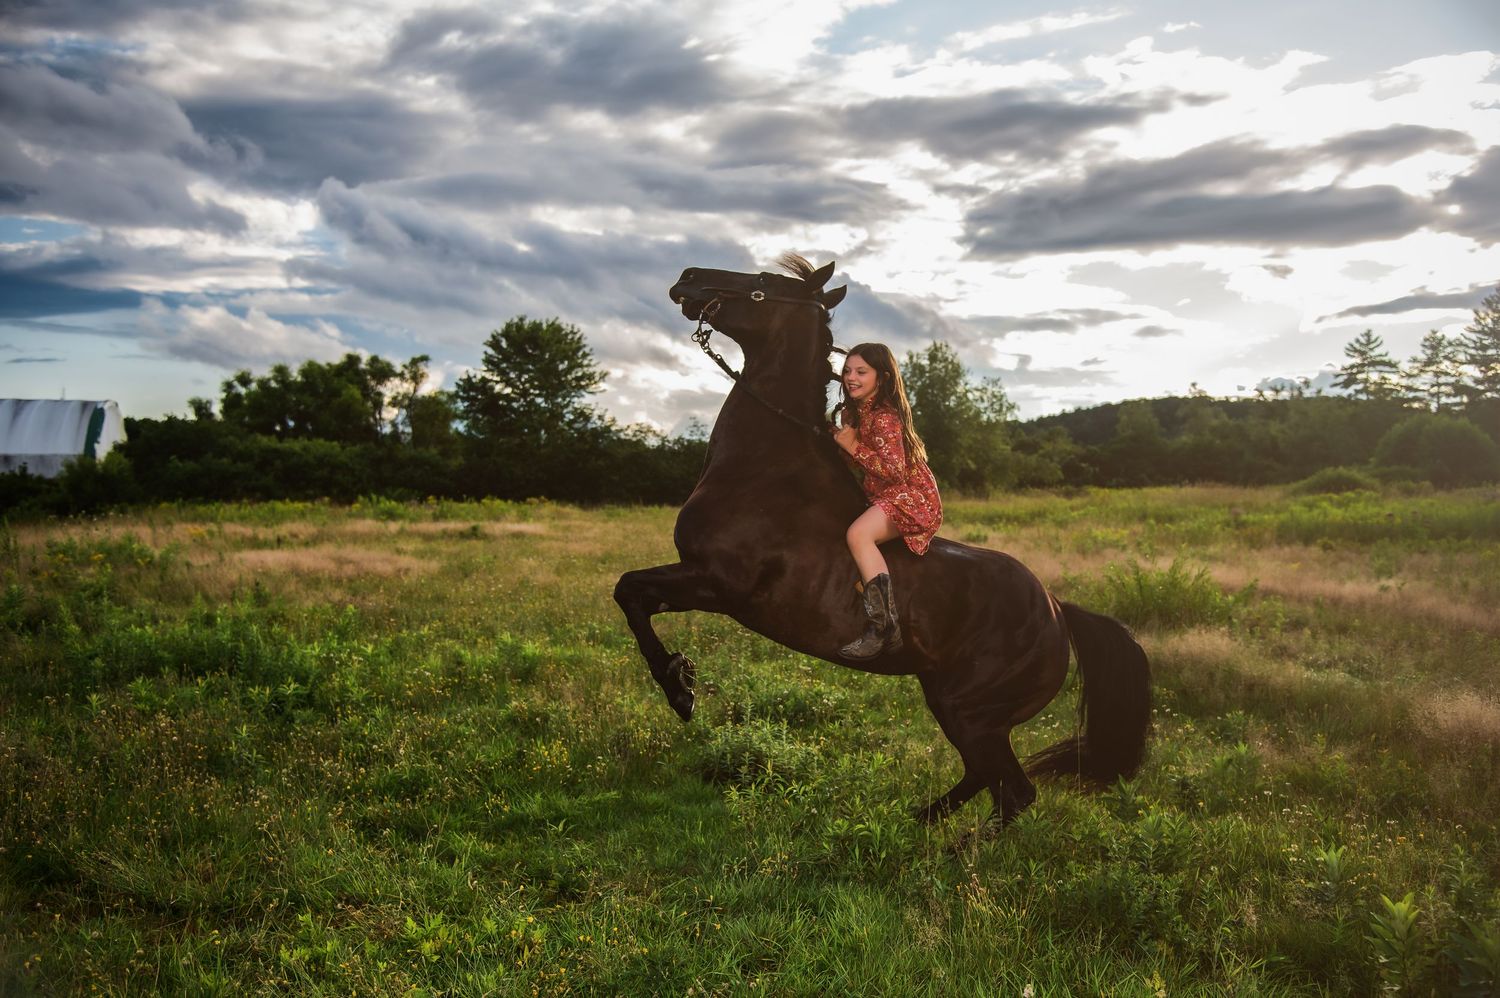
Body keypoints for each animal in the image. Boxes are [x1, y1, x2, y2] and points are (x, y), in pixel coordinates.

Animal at [613, 255, 1151, 826]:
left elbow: (628, 591)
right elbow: (633, 596)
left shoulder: (716, 584)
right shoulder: (700, 580)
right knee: (983, 778)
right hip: (950, 701)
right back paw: (915, 823)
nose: (688, 279)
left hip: (972, 712)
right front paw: (682, 679)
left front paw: (680, 689)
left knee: (1013, 792)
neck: (763, 467)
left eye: (760, 286)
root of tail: (1056, 610)